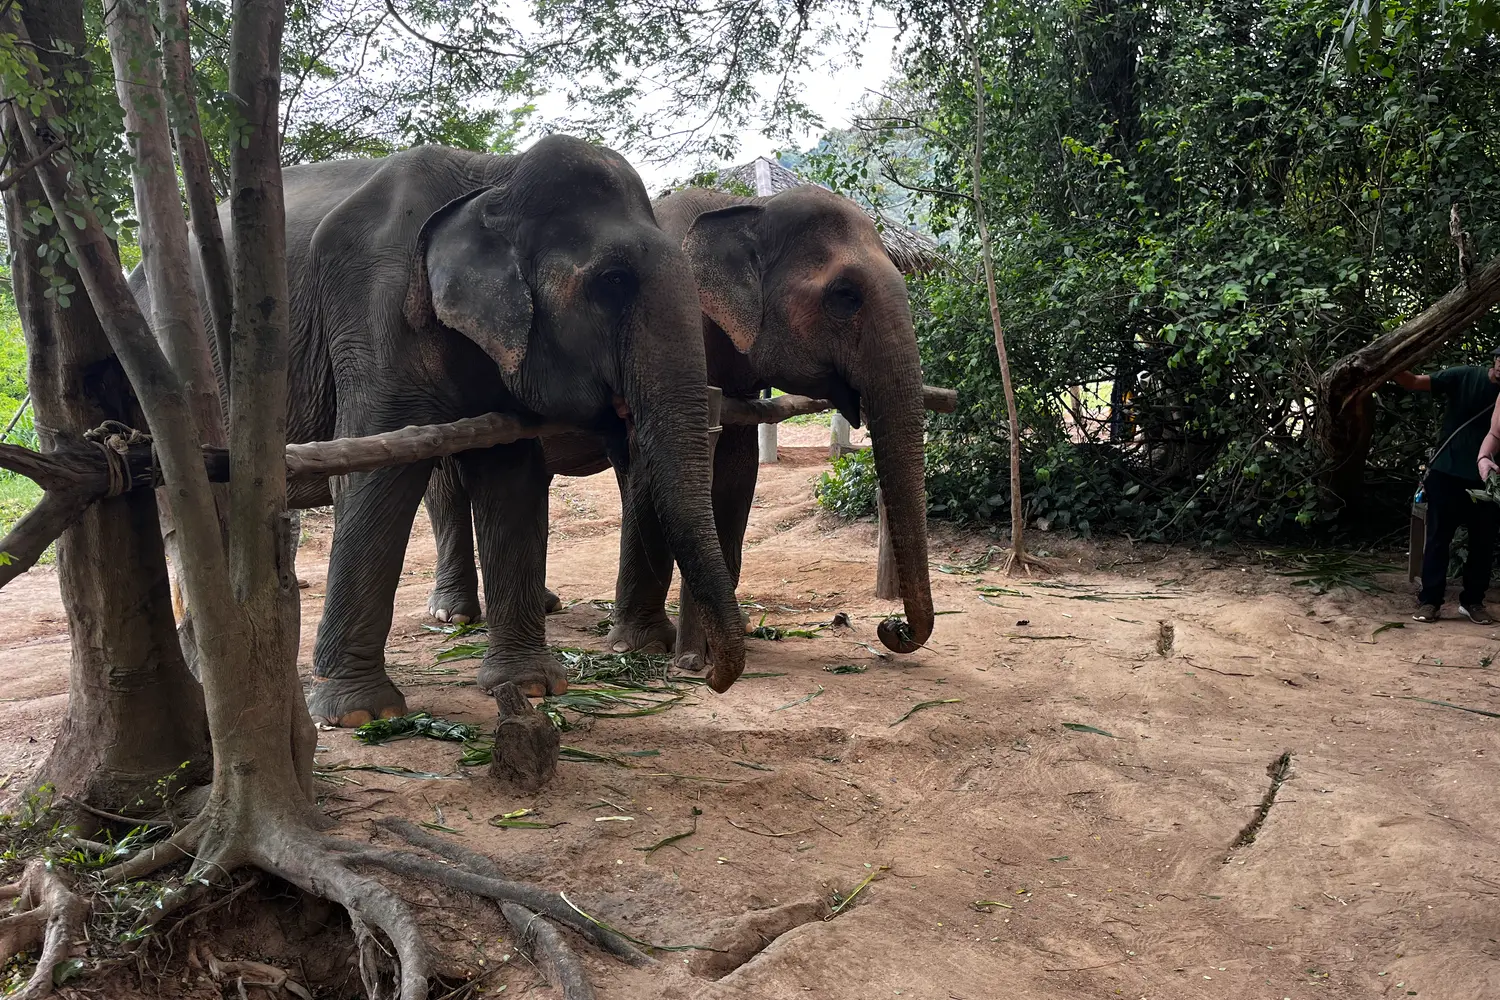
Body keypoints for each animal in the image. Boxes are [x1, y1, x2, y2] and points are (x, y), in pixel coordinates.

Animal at [135, 135, 749, 726]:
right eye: (613, 281)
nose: (707, 675)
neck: (493, 176)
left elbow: (513, 477)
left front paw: (530, 686)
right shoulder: (373, 308)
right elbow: (373, 476)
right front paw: (360, 713)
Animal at [423, 182, 935, 661]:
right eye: (845, 296)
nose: (890, 627)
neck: (744, 206)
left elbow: (737, 473)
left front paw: (732, 628)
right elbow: (648, 471)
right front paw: (642, 646)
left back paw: (545, 604)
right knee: (446, 484)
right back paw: (452, 615)